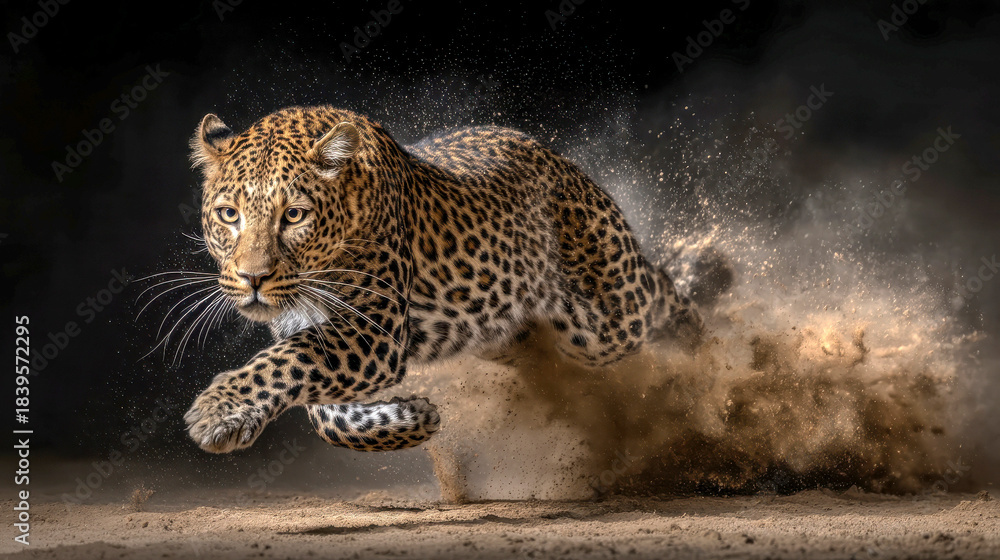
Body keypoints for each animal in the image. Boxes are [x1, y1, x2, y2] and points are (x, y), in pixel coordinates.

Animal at [181, 105, 706, 454]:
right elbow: (323, 409)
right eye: (229, 215)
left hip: (604, 321)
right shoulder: (316, 328)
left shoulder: (375, 334)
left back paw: (703, 338)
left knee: (657, 289)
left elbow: (285, 363)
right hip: (502, 332)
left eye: (293, 215)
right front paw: (413, 416)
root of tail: (565, 164)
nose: (252, 278)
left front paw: (216, 411)